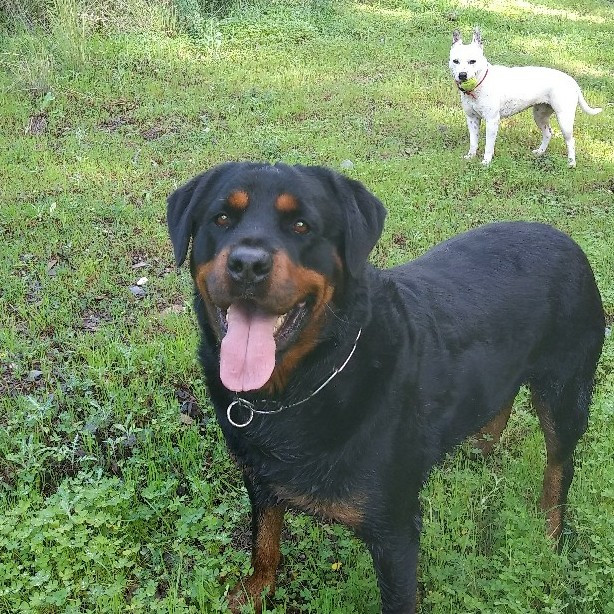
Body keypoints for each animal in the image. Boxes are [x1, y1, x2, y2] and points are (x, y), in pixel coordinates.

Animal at [167, 162, 604, 613]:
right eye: (221, 219)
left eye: (302, 226)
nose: (247, 265)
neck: (304, 384)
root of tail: (564, 239)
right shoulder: (260, 480)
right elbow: (264, 542)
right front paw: (256, 591)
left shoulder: (395, 531)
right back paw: (479, 450)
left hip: (565, 388)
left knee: (560, 466)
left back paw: (549, 532)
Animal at [449, 27, 602, 167]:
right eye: (455, 61)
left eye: (472, 61)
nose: (462, 75)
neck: (481, 83)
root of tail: (572, 81)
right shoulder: (472, 119)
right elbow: (473, 142)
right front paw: (470, 156)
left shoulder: (492, 121)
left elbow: (488, 145)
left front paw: (486, 162)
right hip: (540, 115)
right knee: (548, 133)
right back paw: (540, 152)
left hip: (564, 120)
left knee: (570, 140)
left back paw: (571, 162)